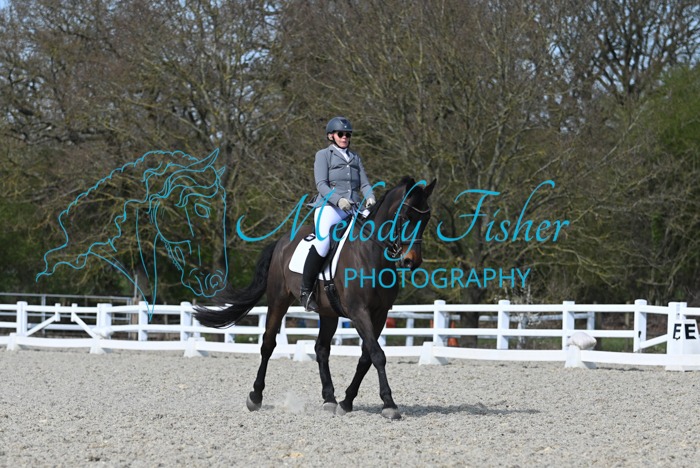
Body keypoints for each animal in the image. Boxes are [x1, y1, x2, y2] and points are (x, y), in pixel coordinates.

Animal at [195, 176, 436, 419]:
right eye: (405, 216)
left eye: (426, 218)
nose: (412, 261)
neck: (370, 254)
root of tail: (282, 241)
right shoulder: (359, 312)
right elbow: (377, 354)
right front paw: (389, 404)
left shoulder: (380, 314)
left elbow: (366, 357)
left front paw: (346, 402)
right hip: (278, 300)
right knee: (268, 344)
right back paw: (255, 396)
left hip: (328, 311)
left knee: (321, 349)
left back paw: (329, 399)